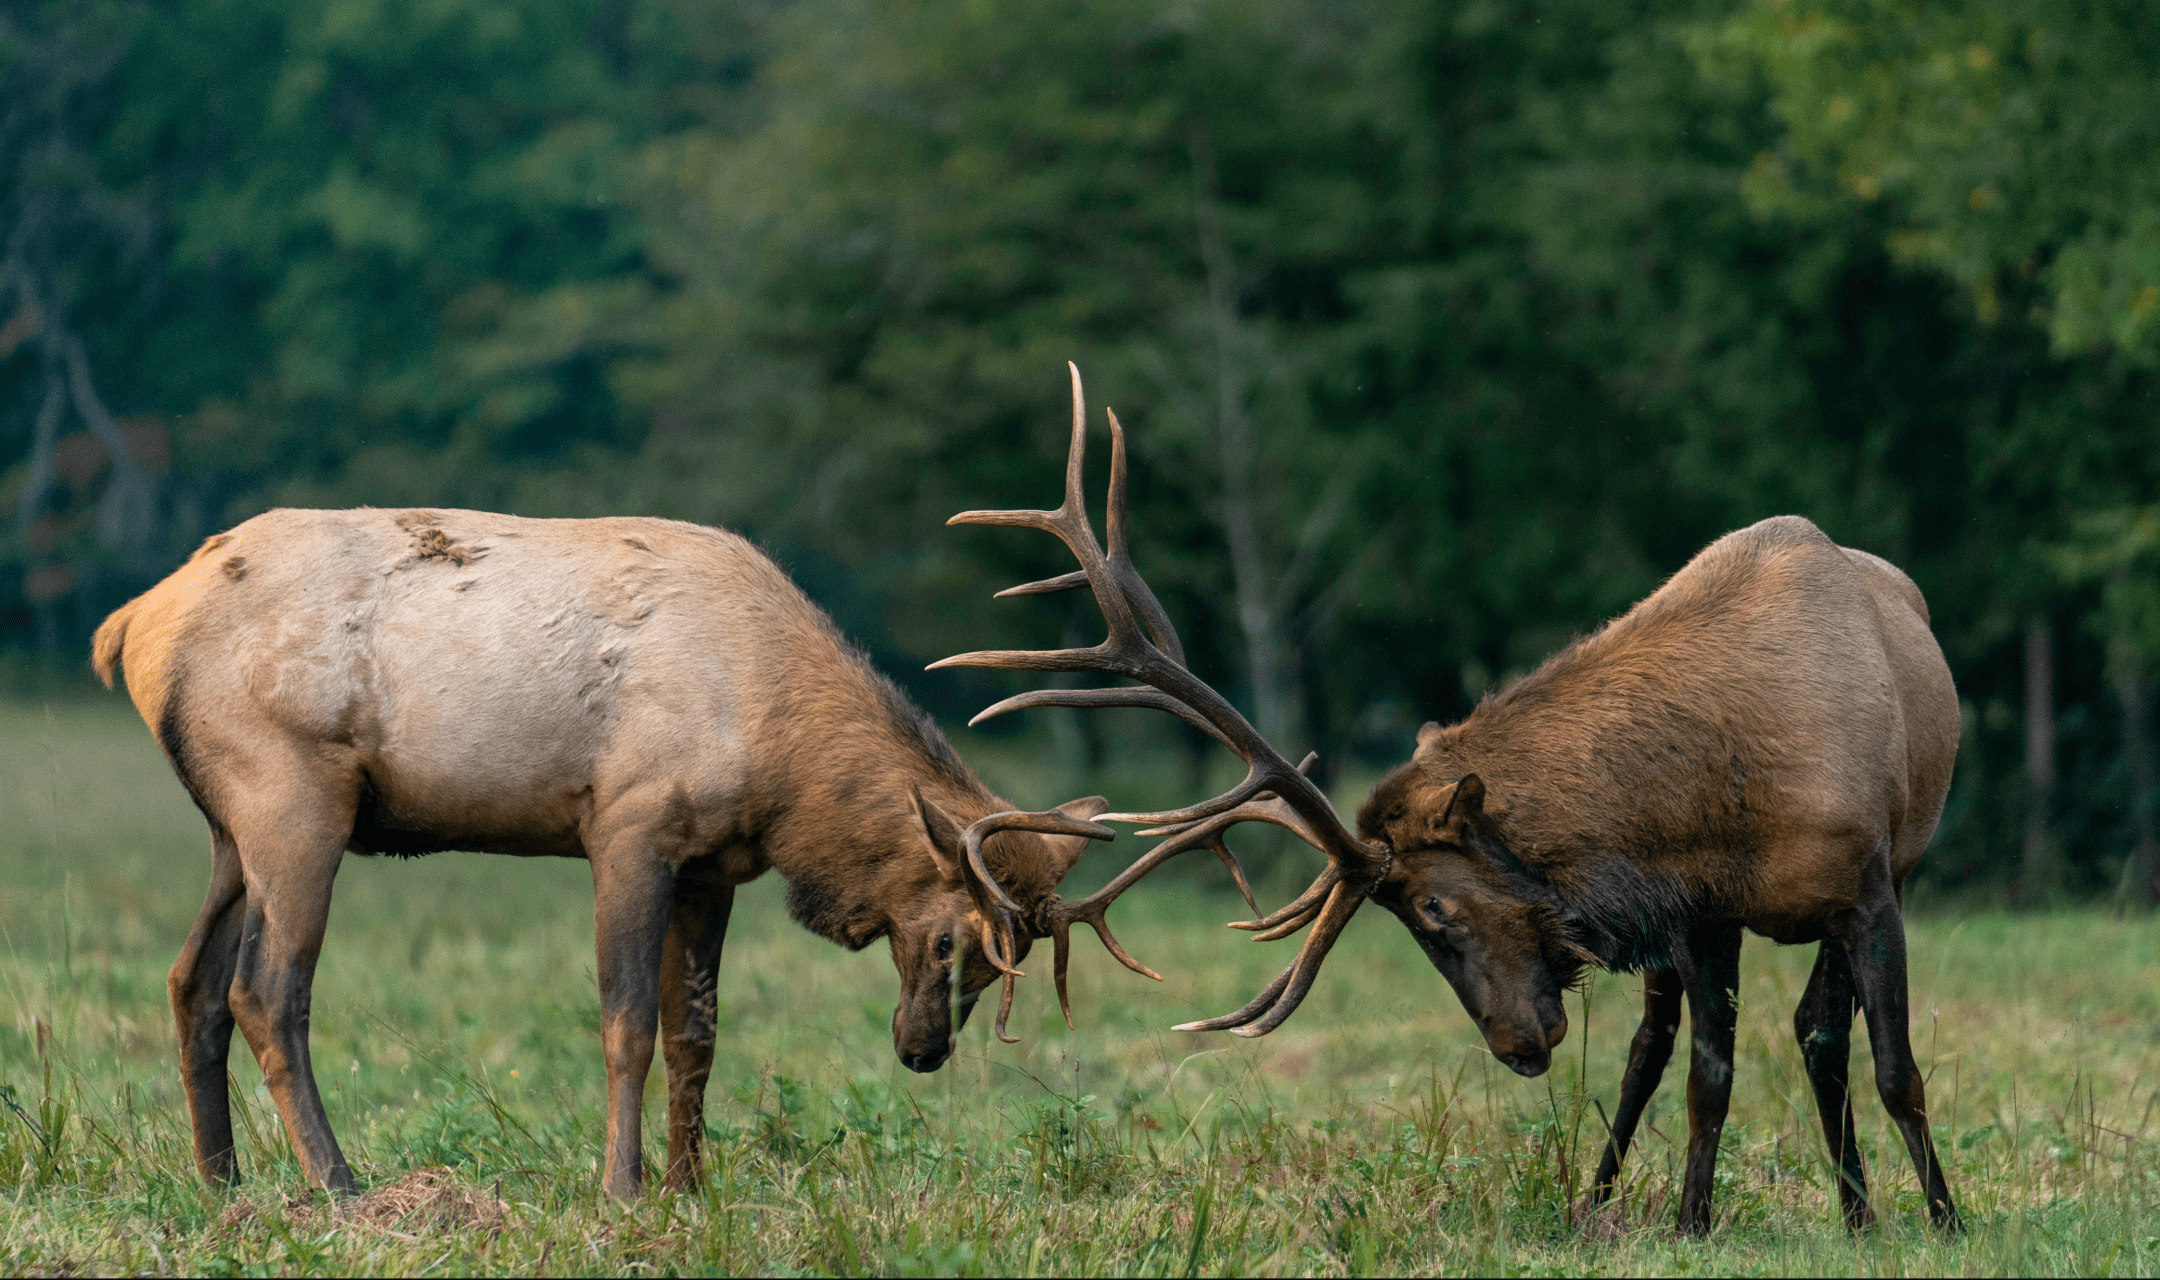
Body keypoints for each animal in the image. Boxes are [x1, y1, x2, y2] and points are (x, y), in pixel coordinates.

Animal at [89, 506, 1152, 1200]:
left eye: (999, 964)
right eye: (948, 941)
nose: (923, 1050)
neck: (779, 765)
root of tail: (130, 624)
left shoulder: (714, 866)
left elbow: (697, 1034)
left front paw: (689, 1187)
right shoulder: (630, 827)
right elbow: (628, 1023)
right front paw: (622, 1189)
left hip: (231, 826)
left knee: (191, 979)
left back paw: (222, 1184)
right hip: (294, 794)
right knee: (266, 989)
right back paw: (342, 1187)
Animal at [941, 366, 1960, 1237]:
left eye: (1434, 909)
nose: (1516, 1045)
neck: (1735, 786)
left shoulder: (1868, 888)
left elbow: (1893, 1066)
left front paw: (1945, 1220)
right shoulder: (1703, 911)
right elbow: (1709, 1074)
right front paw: (1691, 1224)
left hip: (1884, 874)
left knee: (1818, 1036)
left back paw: (1862, 1212)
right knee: (1655, 1045)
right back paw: (1613, 1200)